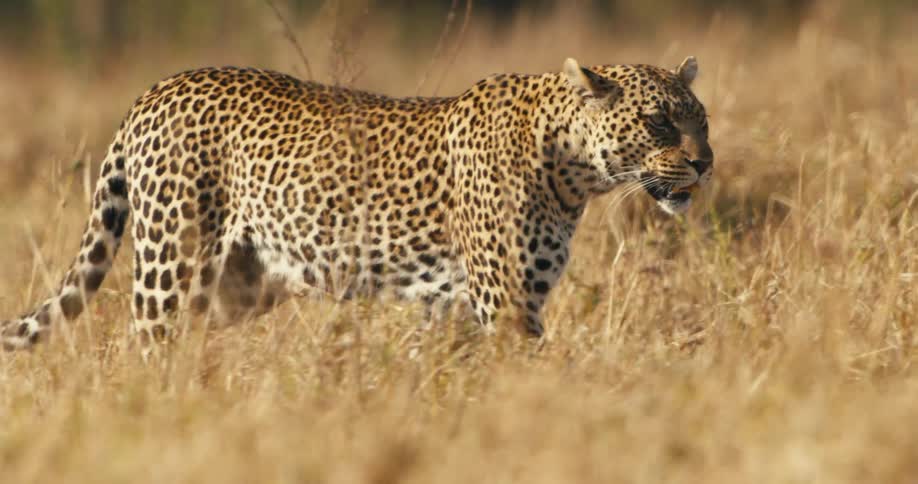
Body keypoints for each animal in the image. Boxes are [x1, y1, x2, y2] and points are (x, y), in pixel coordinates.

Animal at [0, 56, 712, 350]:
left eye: (701, 121)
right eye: (658, 122)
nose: (705, 162)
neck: (573, 167)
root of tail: (153, 91)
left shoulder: (451, 306)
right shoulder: (507, 303)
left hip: (237, 286)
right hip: (170, 269)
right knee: (144, 347)